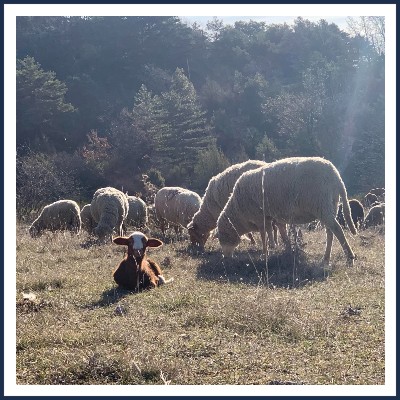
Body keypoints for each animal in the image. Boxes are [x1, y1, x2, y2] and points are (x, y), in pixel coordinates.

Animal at [217, 158, 358, 268]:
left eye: (223, 237)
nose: (225, 258)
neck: (238, 210)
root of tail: (336, 177)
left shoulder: (259, 217)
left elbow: (264, 236)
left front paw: (265, 253)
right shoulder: (274, 216)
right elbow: (281, 233)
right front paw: (287, 250)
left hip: (321, 205)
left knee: (337, 229)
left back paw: (349, 258)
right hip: (330, 205)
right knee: (330, 232)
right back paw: (326, 259)